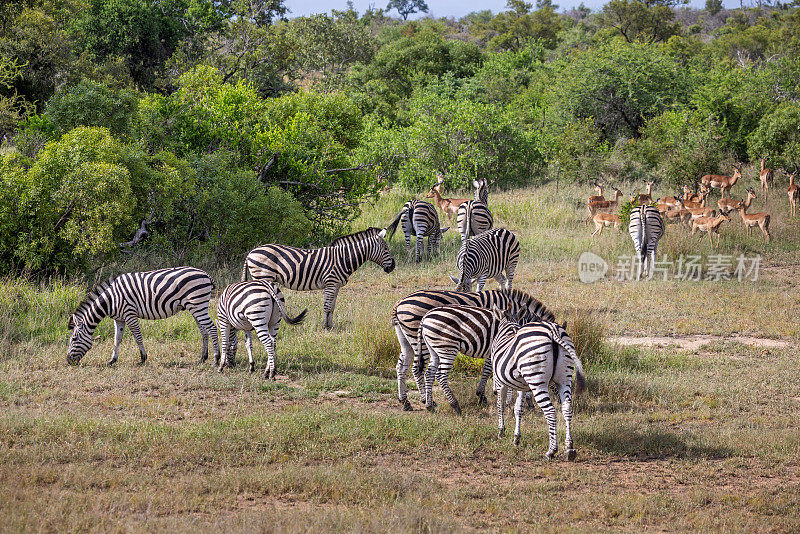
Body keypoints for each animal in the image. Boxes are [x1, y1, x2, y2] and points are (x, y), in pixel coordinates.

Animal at [67, 268, 219, 368]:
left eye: (74, 339)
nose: (68, 361)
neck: (111, 299)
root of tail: (206, 274)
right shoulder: (119, 318)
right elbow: (117, 339)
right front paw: (112, 360)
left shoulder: (130, 314)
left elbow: (137, 337)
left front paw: (143, 359)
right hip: (195, 307)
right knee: (204, 331)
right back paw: (202, 358)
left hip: (198, 304)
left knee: (211, 328)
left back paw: (216, 359)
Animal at [242, 230, 396, 330]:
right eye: (386, 249)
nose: (393, 266)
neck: (343, 258)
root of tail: (251, 253)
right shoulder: (331, 283)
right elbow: (327, 306)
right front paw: (323, 327)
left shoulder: (337, 285)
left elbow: (332, 307)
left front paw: (330, 326)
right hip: (262, 276)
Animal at [390, 288, 552, 410]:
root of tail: (398, 303)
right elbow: (490, 369)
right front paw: (486, 395)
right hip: (418, 337)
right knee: (418, 369)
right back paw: (429, 401)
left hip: (405, 338)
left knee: (401, 366)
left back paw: (405, 402)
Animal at [488, 308, 588, 462]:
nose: (493, 391)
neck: (509, 326)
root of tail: (553, 331)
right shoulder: (522, 385)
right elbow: (518, 409)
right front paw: (516, 438)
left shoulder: (501, 382)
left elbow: (501, 406)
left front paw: (501, 431)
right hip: (564, 379)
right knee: (567, 408)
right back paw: (570, 448)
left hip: (537, 380)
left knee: (551, 411)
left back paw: (551, 451)